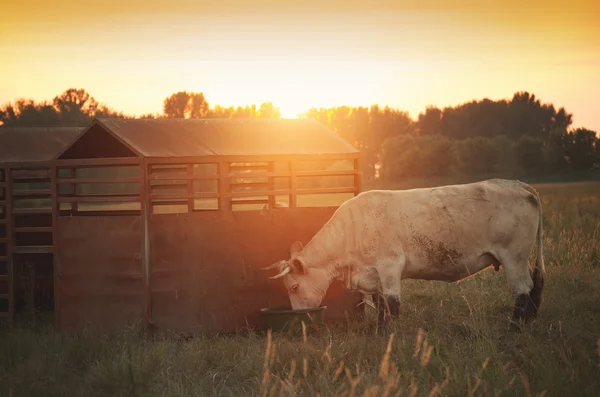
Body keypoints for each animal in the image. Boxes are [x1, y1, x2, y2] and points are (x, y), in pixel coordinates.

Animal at [262, 178, 544, 330]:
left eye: (294, 286)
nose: (299, 316)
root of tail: (520, 185)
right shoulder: (372, 275)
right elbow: (380, 305)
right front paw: (379, 332)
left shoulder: (390, 267)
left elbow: (393, 304)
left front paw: (390, 336)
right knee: (534, 286)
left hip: (514, 257)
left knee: (523, 290)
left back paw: (514, 327)